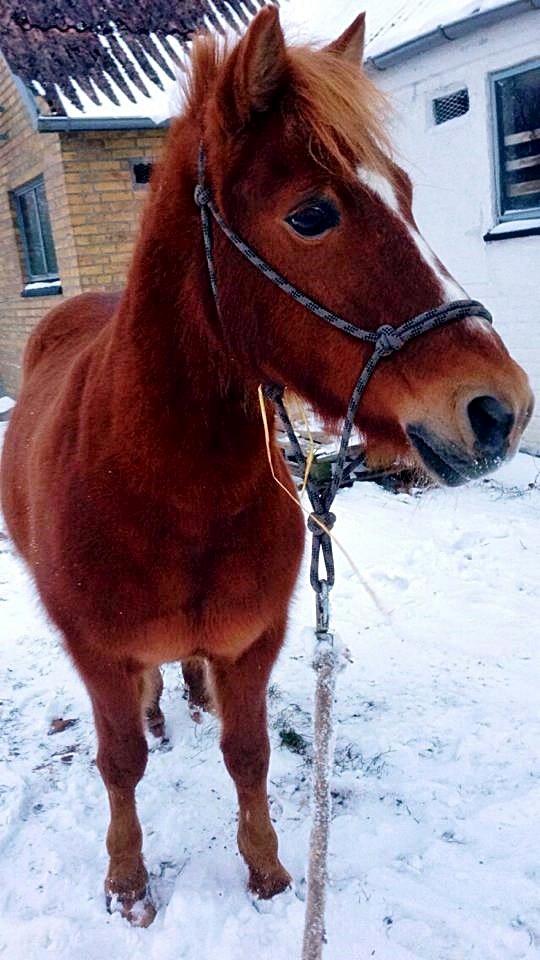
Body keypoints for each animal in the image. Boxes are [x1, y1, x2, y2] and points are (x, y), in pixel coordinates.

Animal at [0, 5, 532, 924]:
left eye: (407, 194)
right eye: (312, 215)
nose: (501, 410)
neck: (166, 491)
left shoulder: (254, 641)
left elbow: (248, 753)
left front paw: (270, 871)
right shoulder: (97, 652)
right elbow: (119, 763)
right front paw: (128, 882)